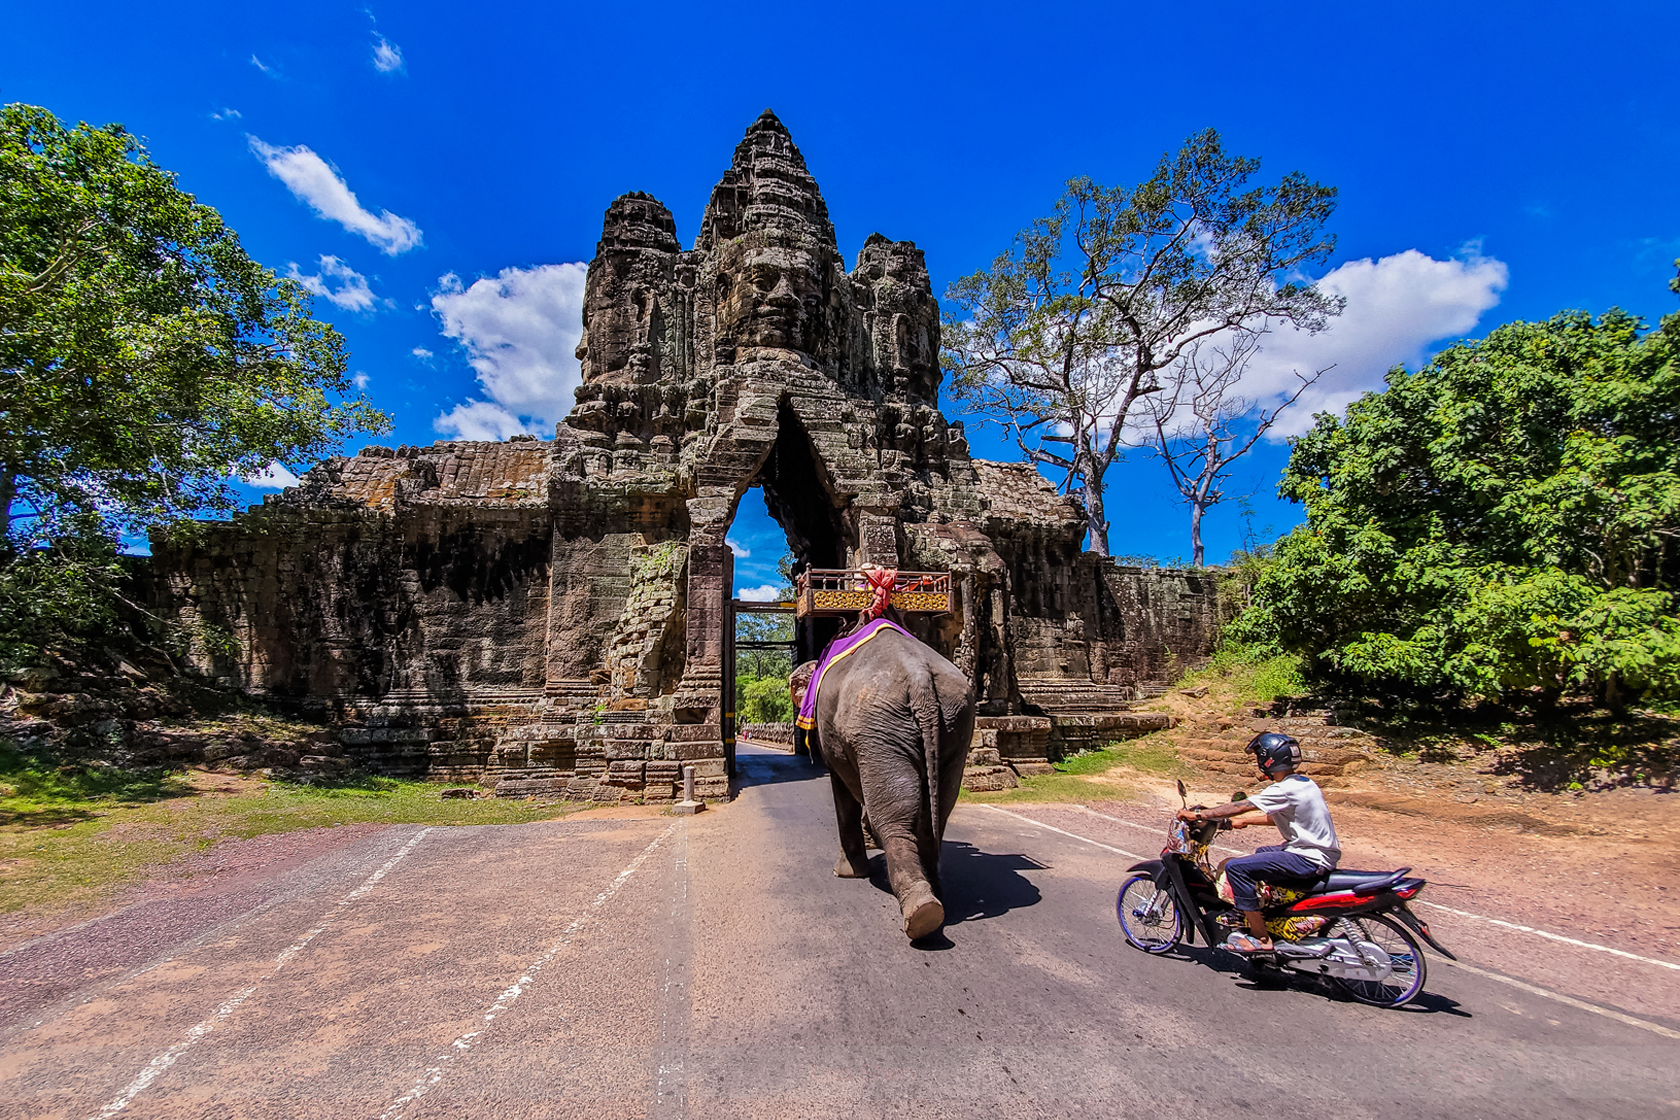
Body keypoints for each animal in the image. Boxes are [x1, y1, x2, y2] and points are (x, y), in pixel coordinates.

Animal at [792, 628, 981, 940]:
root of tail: (920, 678)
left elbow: (841, 787)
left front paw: (845, 872)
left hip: (877, 728)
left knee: (895, 817)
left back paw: (921, 912)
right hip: (954, 722)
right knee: (939, 809)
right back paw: (933, 893)